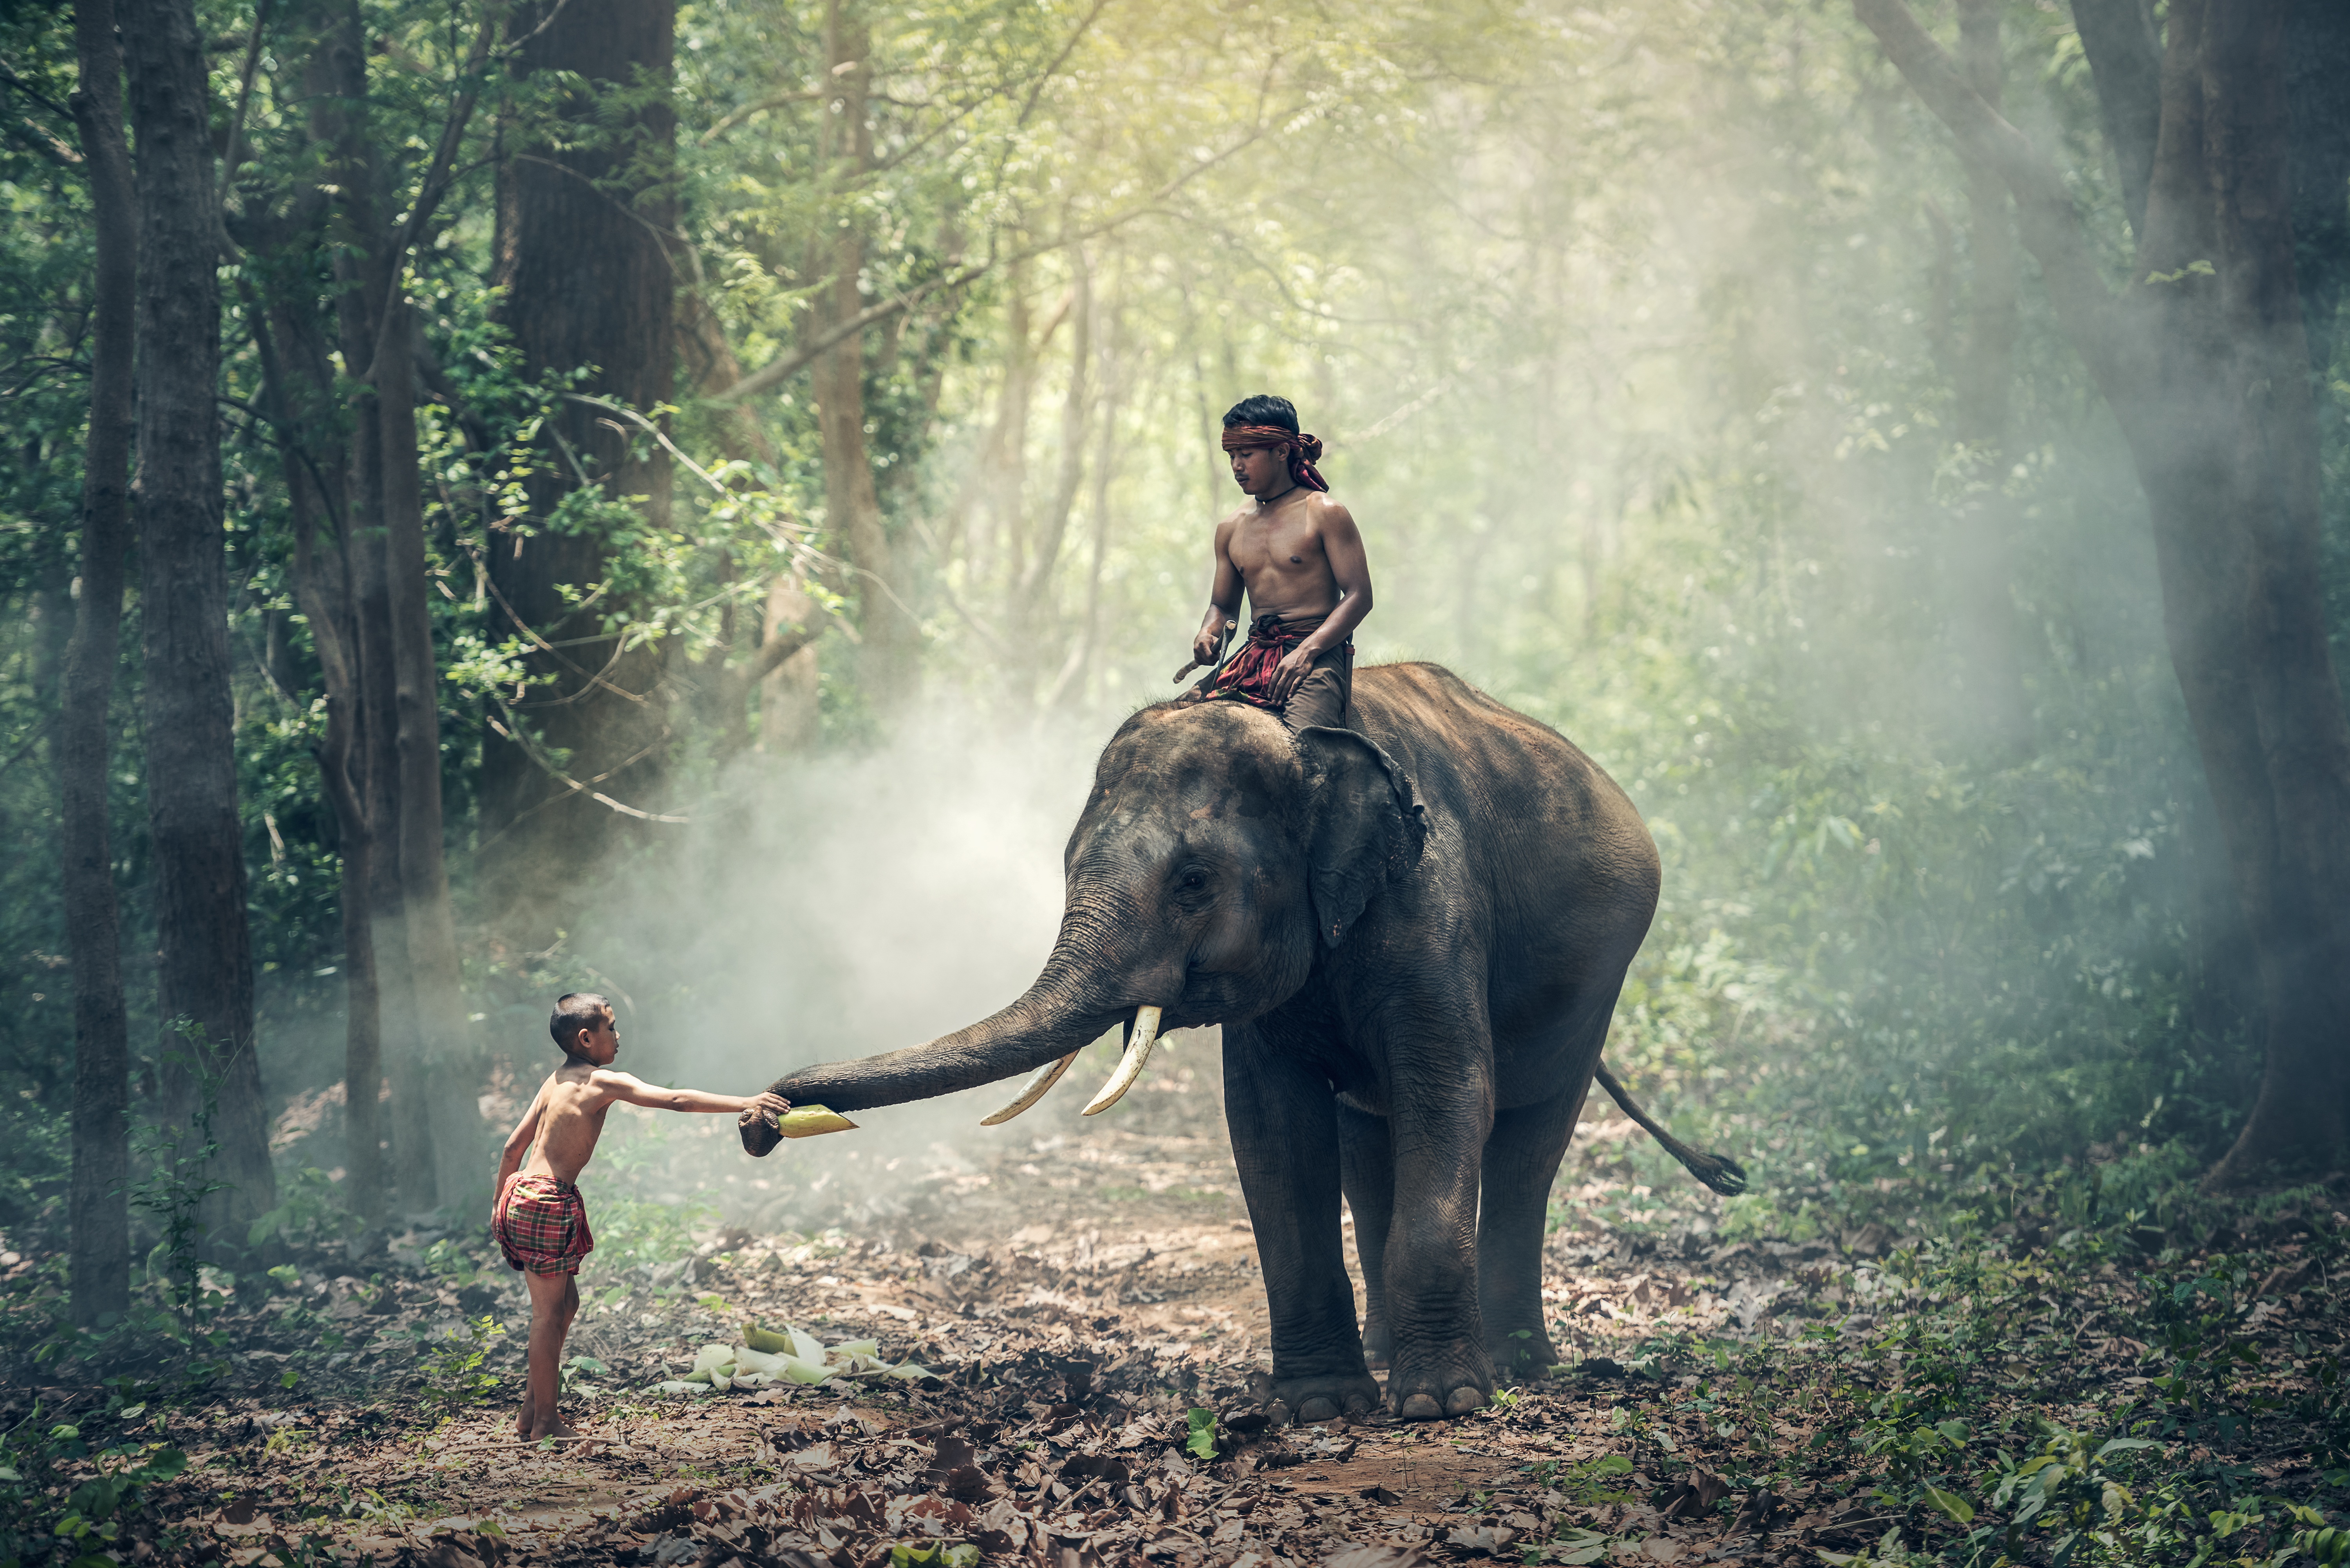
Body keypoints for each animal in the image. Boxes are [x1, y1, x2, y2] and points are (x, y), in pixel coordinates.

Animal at [738, 663, 1748, 1420]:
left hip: (1599, 980)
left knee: (1529, 1141)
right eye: (1066, 866)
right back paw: (1394, 1355)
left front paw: (1441, 1406)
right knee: (1369, 1146)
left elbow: (1451, 1089)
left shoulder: (1434, 904)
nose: (762, 1119)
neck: (1306, 743)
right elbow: (1270, 1126)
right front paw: (1322, 1406)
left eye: (1192, 880)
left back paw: (1515, 1366)